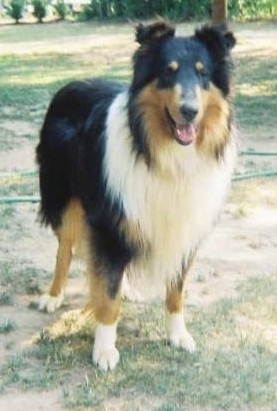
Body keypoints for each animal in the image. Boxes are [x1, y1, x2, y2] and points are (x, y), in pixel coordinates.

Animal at [36, 20, 235, 374]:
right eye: (168, 72)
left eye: (203, 74)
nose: (189, 112)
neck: (162, 153)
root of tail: (69, 85)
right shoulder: (108, 222)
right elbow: (107, 297)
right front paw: (104, 350)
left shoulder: (181, 232)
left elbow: (175, 292)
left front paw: (178, 335)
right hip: (65, 200)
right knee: (65, 249)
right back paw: (53, 295)